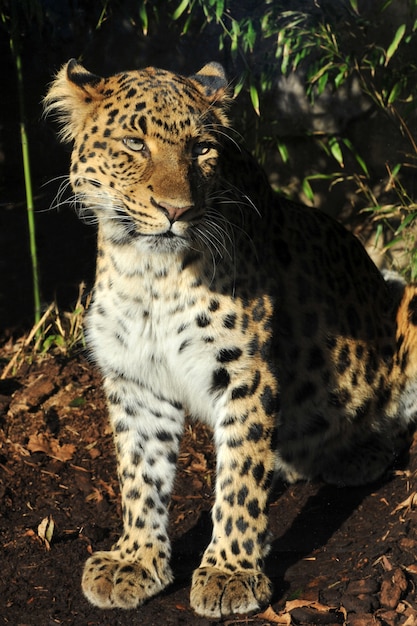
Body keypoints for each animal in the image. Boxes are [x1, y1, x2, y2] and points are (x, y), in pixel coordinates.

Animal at [43, 61, 417, 616]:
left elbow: (240, 477)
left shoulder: (245, 370)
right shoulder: (136, 378)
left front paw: (230, 572)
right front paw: (136, 559)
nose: (175, 210)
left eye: (201, 148)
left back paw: (358, 452)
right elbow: (140, 471)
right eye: (134, 143)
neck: (149, 272)